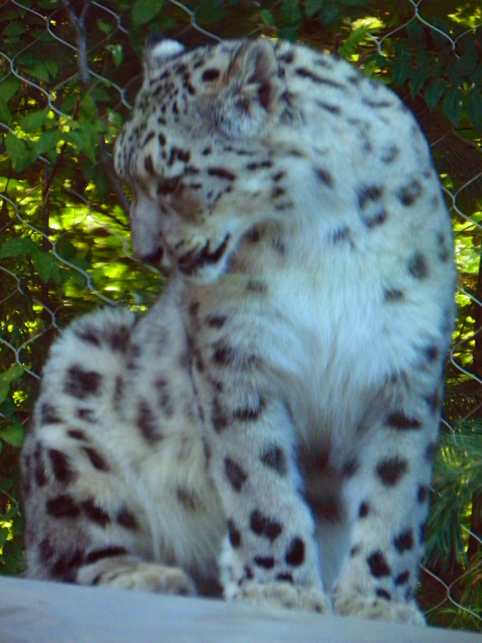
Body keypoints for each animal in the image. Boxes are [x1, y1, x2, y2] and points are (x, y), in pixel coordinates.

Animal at [21, 36, 456, 625]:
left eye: (171, 181)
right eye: (128, 177)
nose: (145, 252)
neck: (320, 234)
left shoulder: (405, 365)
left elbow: (396, 491)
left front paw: (377, 602)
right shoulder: (237, 356)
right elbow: (257, 474)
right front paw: (280, 589)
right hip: (81, 372)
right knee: (66, 552)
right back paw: (148, 575)